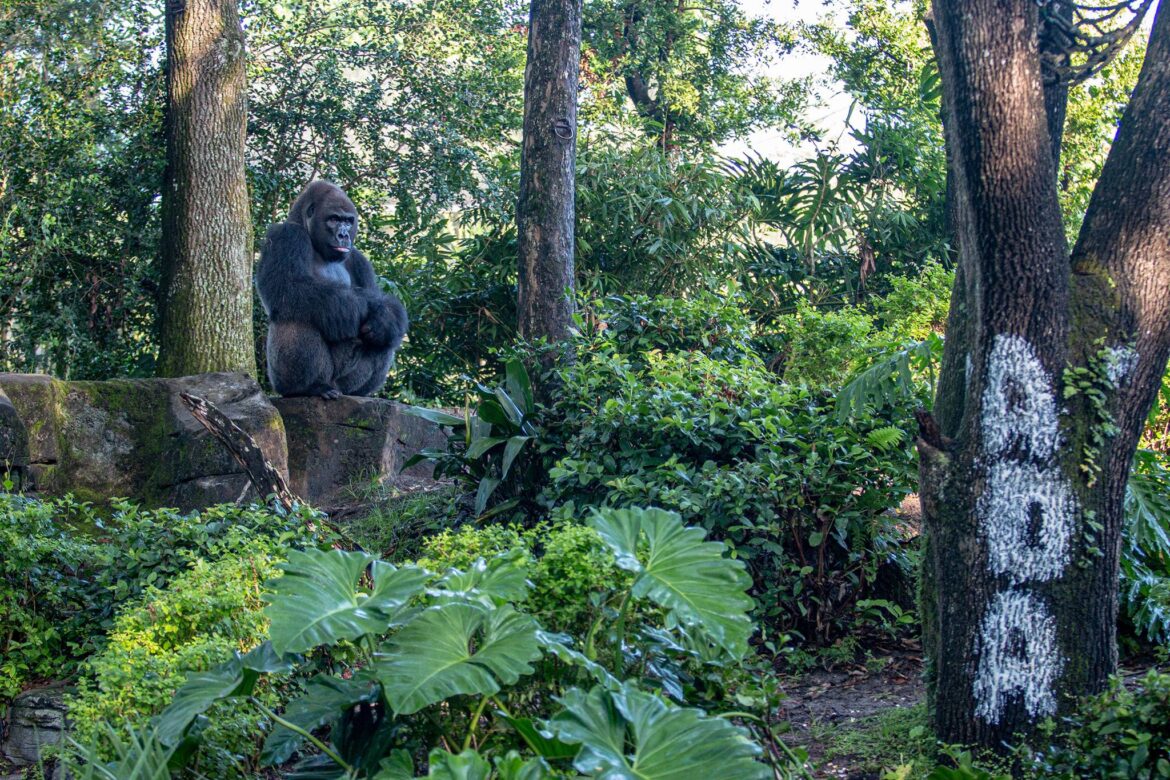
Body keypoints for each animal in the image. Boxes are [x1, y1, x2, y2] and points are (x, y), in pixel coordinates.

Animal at [256, 181, 407, 399]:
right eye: (334, 219)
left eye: (348, 221)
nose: (343, 235)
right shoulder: (285, 235)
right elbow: (288, 287)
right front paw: (357, 307)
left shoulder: (359, 259)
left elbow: (380, 302)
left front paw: (383, 316)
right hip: (281, 382)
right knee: (299, 313)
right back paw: (310, 387)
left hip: (343, 383)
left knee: (385, 339)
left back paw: (359, 391)